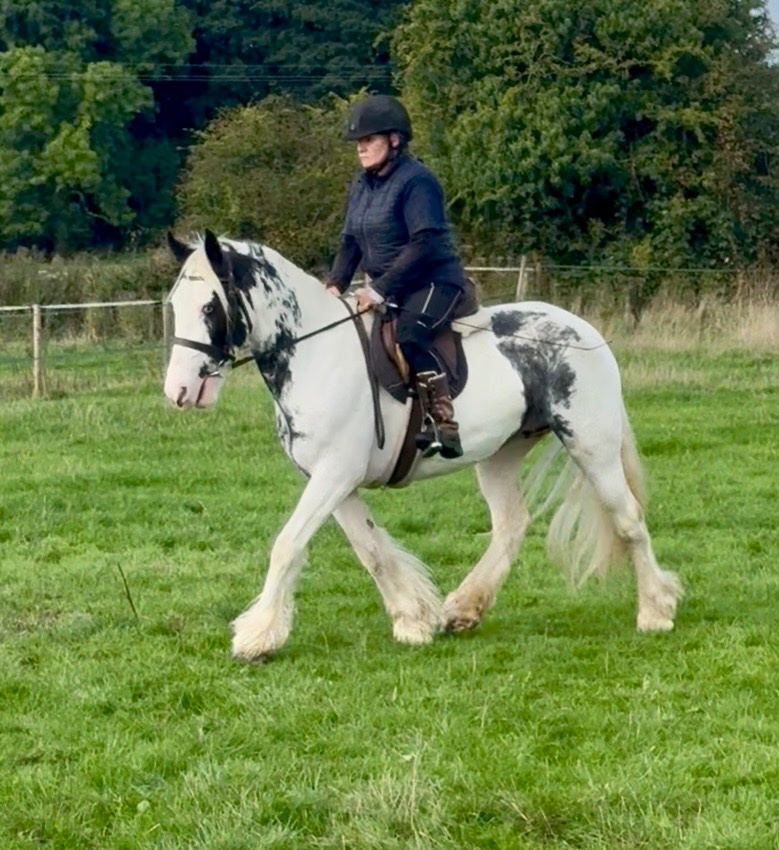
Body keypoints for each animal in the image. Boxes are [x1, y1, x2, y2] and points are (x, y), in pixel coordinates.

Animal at [163, 229, 681, 662]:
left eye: (210, 307)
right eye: (173, 304)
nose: (179, 391)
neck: (316, 354)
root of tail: (585, 331)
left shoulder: (334, 475)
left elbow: (288, 544)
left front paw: (257, 638)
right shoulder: (334, 480)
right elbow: (370, 549)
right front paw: (413, 619)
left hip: (591, 444)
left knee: (629, 519)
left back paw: (656, 611)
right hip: (500, 454)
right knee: (511, 524)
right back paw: (464, 609)